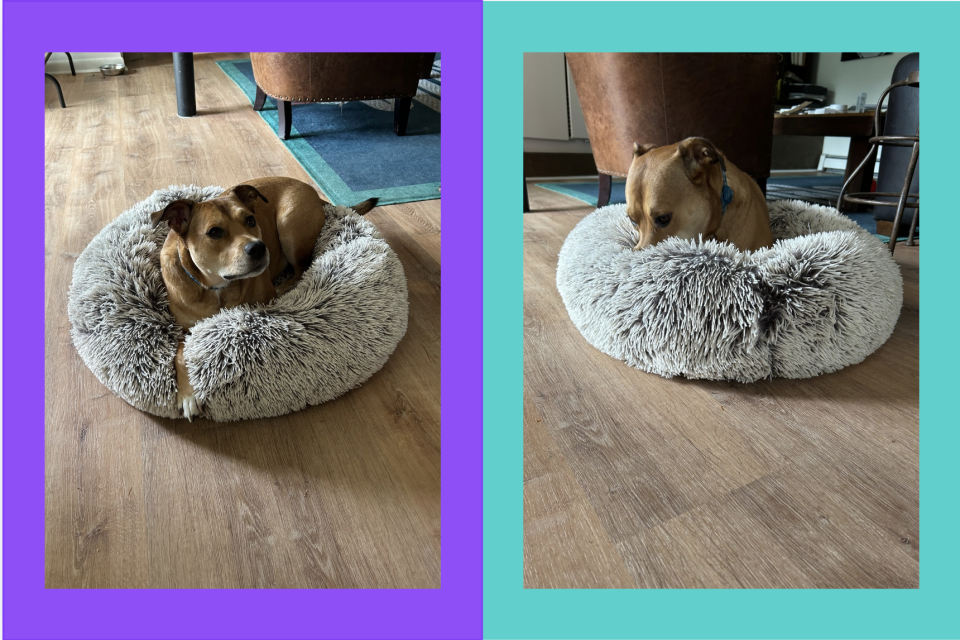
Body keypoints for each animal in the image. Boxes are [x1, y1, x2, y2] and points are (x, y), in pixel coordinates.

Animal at [149, 176, 376, 420]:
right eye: (215, 232)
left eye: (250, 220)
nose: (258, 247)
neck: (214, 287)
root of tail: (311, 191)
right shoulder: (183, 328)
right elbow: (179, 354)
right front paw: (188, 395)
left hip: (289, 226)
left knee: (300, 272)